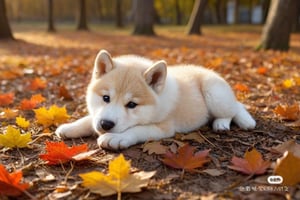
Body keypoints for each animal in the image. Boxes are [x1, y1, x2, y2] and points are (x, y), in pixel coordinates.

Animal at [55, 49, 255, 149]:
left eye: (132, 105)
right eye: (106, 98)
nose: (106, 124)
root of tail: (208, 71)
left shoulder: (163, 128)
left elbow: (136, 130)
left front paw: (115, 138)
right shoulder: (97, 115)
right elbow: (89, 119)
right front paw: (70, 127)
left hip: (214, 94)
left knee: (234, 108)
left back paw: (227, 123)